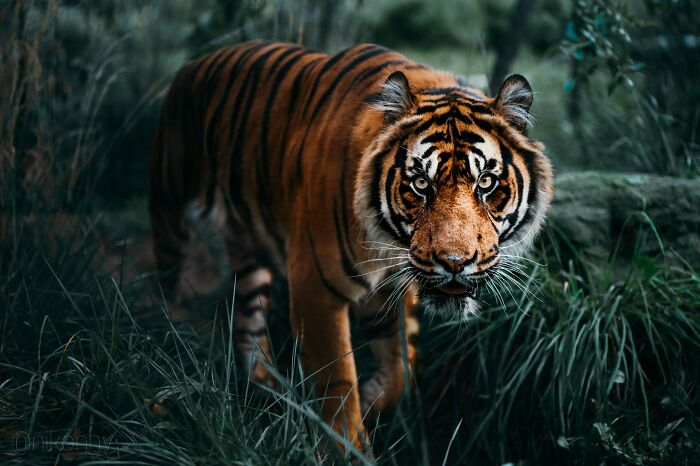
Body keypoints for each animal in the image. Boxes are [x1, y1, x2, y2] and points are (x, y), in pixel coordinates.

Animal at [149, 40, 553, 449]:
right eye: (421, 184)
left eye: (485, 182)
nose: (454, 262)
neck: (388, 244)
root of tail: (197, 61)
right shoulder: (315, 288)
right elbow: (338, 388)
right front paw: (347, 444)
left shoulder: (389, 291)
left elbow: (402, 368)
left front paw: (372, 400)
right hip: (170, 207)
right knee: (165, 285)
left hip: (249, 251)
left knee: (248, 322)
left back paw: (267, 388)